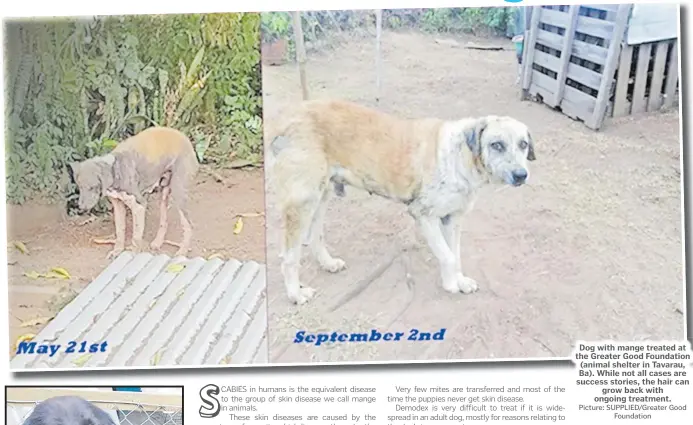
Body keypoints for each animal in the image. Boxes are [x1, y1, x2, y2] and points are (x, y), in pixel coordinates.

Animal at [69, 125, 199, 258]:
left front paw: (133, 254)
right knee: (164, 222)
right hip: (163, 193)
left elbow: (136, 237)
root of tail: (185, 137)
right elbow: (120, 231)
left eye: (92, 187)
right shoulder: (118, 205)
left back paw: (182, 251)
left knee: (189, 225)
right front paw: (117, 251)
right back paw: (157, 243)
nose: (81, 207)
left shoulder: (139, 205)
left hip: (178, 193)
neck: (116, 170)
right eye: (79, 187)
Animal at [264, 100, 536, 304]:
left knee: (315, 236)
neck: (461, 156)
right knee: (289, 256)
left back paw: (328, 264)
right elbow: (447, 256)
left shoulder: (452, 219)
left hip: (321, 197)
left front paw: (460, 281)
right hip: (302, 203)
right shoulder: (424, 215)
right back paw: (295, 294)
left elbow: (455, 254)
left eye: (523, 144)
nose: (521, 175)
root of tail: (287, 117)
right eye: (496, 145)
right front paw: (450, 284)